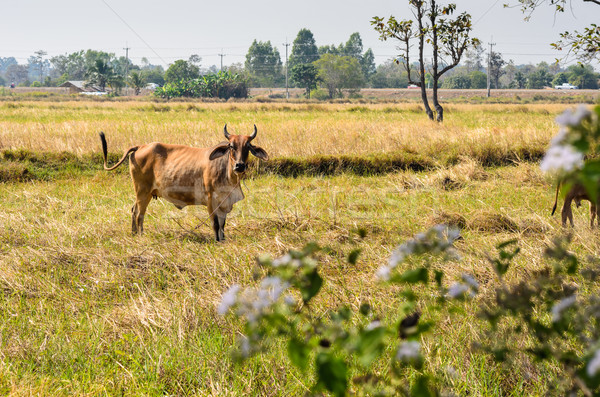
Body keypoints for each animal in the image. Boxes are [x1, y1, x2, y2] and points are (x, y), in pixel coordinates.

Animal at [99, 125, 268, 240]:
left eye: (247, 147)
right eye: (231, 146)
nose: (239, 165)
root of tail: (141, 146)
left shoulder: (224, 202)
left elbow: (222, 225)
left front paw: (223, 240)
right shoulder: (211, 200)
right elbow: (215, 224)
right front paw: (216, 240)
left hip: (144, 193)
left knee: (134, 210)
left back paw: (134, 234)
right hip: (142, 191)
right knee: (139, 213)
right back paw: (141, 234)